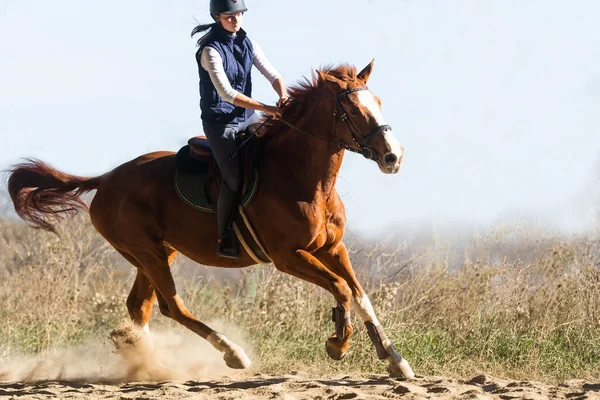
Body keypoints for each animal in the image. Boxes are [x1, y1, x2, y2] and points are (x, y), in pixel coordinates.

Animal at [7, 60, 414, 378]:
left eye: (378, 103)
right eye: (355, 111)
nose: (393, 157)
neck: (300, 177)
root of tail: (105, 179)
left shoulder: (332, 248)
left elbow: (360, 295)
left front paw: (394, 359)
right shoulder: (288, 257)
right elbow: (341, 289)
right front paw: (337, 343)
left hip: (157, 252)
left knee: (140, 306)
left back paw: (152, 364)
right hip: (147, 253)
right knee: (172, 306)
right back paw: (230, 353)